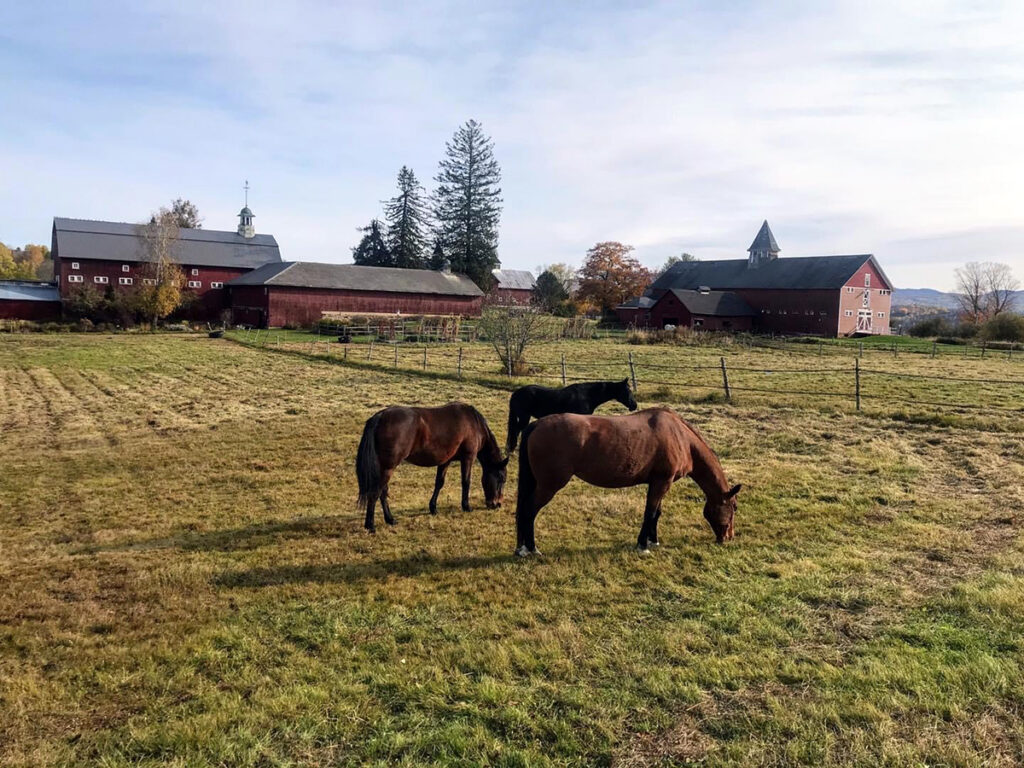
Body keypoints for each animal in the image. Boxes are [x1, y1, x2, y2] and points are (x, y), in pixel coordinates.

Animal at [356, 403, 507, 536]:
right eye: (501, 479)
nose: (497, 504)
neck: (474, 423)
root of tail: (380, 416)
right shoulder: (468, 457)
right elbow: (466, 482)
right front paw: (466, 506)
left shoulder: (445, 461)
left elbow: (439, 483)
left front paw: (433, 508)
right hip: (388, 468)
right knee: (375, 493)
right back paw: (370, 526)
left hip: (385, 468)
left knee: (382, 492)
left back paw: (390, 519)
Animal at [505, 380, 634, 454]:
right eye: (627, 391)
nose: (634, 405)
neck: (587, 396)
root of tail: (515, 393)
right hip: (524, 417)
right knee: (516, 431)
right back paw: (512, 449)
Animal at [516, 411, 741, 557]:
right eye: (734, 507)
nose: (729, 537)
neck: (680, 437)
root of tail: (536, 424)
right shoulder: (662, 481)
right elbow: (650, 512)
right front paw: (643, 545)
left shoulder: (659, 482)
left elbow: (656, 513)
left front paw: (653, 540)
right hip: (549, 485)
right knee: (529, 510)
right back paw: (532, 548)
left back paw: (522, 548)